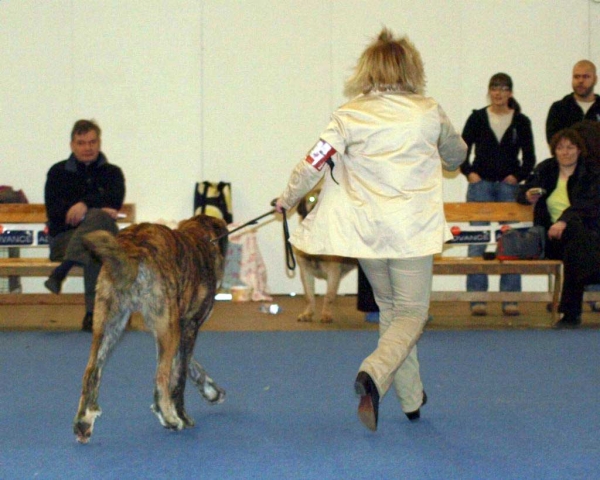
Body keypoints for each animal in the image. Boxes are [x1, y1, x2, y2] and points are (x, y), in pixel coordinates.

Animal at [71, 216, 230, 444]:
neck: (201, 239)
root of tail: (133, 245)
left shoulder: (174, 329)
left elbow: (189, 365)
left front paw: (211, 390)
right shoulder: (186, 326)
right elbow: (178, 378)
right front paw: (183, 414)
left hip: (108, 324)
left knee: (91, 372)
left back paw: (83, 422)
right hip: (167, 329)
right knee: (160, 378)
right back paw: (169, 417)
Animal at [296, 190, 356, 322]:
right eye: (311, 199)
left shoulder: (333, 272)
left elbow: (329, 296)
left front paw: (326, 314)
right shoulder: (305, 271)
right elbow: (309, 296)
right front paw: (308, 313)